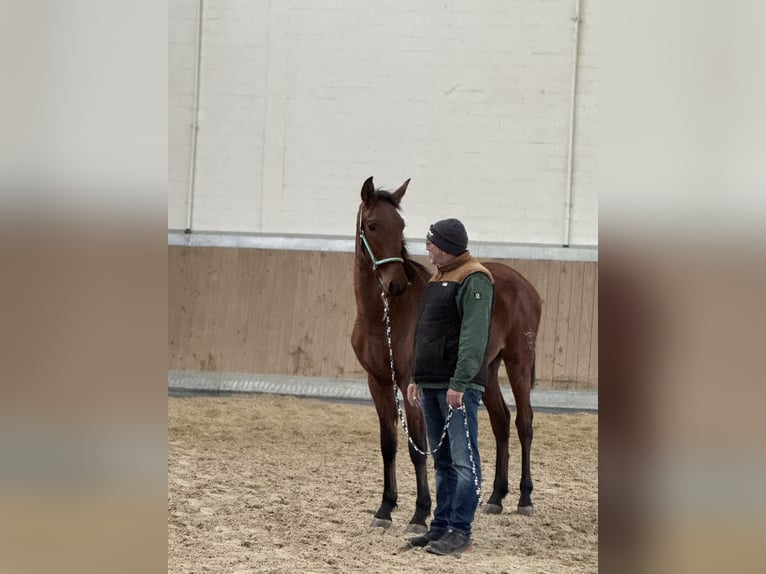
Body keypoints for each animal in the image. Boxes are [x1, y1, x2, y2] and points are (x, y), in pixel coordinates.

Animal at [352, 177, 544, 536]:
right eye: (372, 225)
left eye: (400, 225)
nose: (396, 284)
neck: (385, 315)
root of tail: (525, 286)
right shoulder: (378, 382)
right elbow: (389, 443)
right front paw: (385, 509)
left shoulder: (409, 384)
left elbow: (417, 446)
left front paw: (419, 514)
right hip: (487, 369)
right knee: (501, 421)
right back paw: (495, 497)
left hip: (518, 361)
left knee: (524, 421)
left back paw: (524, 498)